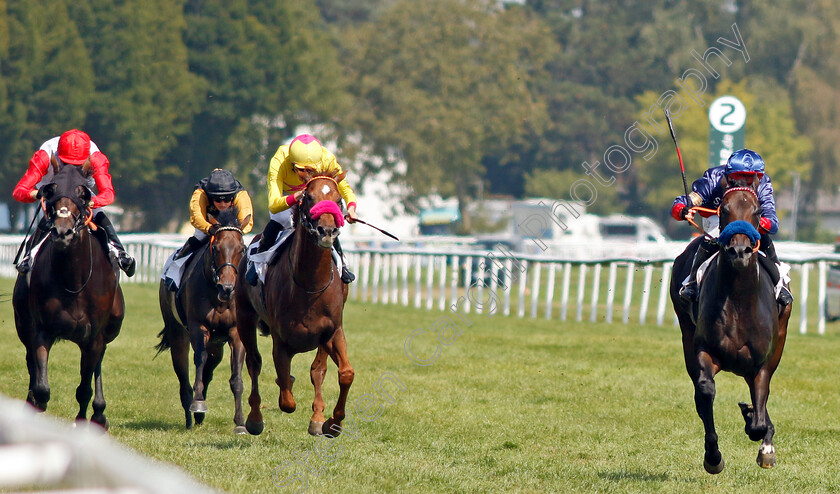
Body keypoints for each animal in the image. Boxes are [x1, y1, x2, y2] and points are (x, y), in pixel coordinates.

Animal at [12, 155, 124, 428]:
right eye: (51, 190)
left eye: (83, 193)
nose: (62, 230)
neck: (73, 281)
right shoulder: (42, 329)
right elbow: (41, 386)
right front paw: (36, 402)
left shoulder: (93, 337)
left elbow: (84, 387)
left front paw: (84, 420)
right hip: (23, 322)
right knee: (31, 362)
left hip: (109, 330)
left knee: (97, 365)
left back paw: (99, 413)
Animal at [157, 208, 249, 432]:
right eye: (215, 248)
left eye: (241, 249)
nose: (227, 288)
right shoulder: (199, 327)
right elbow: (199, 359)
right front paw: (198, 404)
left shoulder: (235, 333)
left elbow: (237, 378)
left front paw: (240, 423)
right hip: (178, 334)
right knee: (183, 375)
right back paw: (191, 417)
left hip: (217, 345)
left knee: (209, 371)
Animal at [236, 171, 354, 436]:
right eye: (309, 197)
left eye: (338, 199)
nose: (327, 231)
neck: (309, 284)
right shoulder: (281, 340)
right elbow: (286, 399)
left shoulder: (333, 331)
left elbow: (344, 373)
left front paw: (332, 422)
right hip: (244, 317)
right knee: (254, 362)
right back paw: (255, 418)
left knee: (317, 370)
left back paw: (317, 418)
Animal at [672, 183, 792, 472]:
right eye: (723, 209)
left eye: (757, 210)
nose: (739, 251)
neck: (739, 301)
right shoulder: (705, 349)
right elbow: (705, 392)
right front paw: (713, 457)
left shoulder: (762, 362)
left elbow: (759, 412)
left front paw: (760, 434)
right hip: (686, 333)